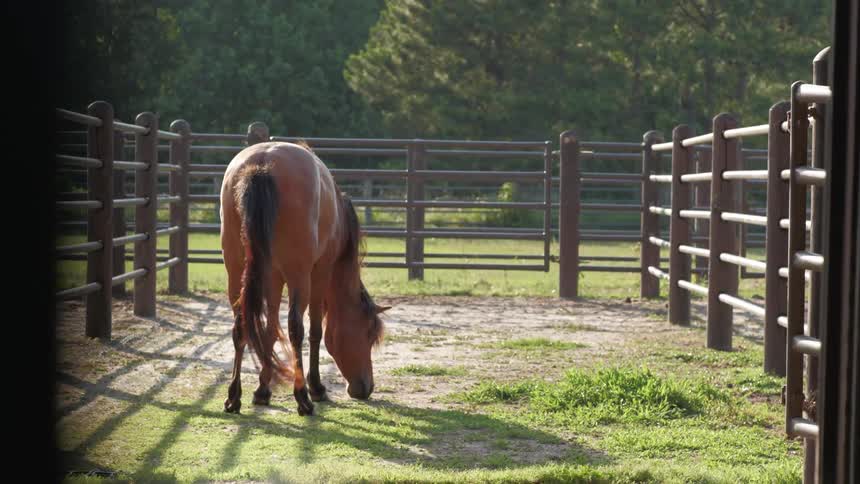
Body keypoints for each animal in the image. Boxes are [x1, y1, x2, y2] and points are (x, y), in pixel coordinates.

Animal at [219, 141, 389, 416]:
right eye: (368, 334)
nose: (365, 387)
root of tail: (262, 164)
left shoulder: (273, 277)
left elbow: (269, 330)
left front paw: (263, 389)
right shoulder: (319, 272)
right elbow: (315, 330)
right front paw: (316, 388)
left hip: (236, 271)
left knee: (240, 327)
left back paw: (234, 397)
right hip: (299, 275)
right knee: (295, 328)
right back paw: (303, 398)